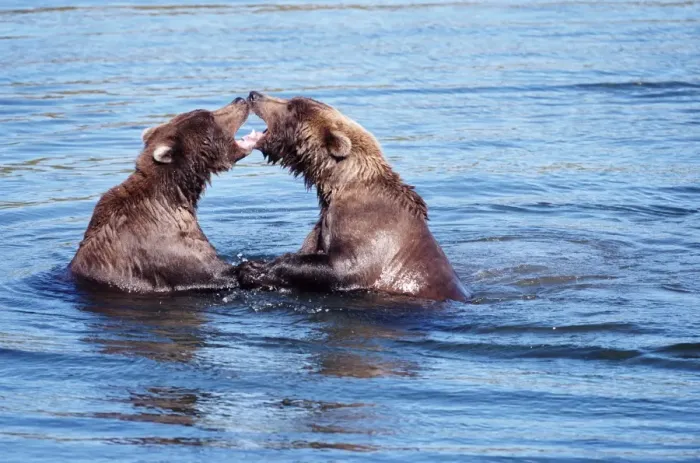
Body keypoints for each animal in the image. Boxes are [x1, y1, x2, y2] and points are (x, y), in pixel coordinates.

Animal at [70, 98, 263, 293]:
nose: (240, 100)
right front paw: (255, 269)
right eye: (208, 117)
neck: (175, 194)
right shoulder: (163, 241)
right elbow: (208, 270)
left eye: (203, 111)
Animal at [236, 91, 469, 302]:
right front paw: (251, 266)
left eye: (293, 107)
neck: (339, 184)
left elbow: (344, 266)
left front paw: (257, 268)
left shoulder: (371, 228)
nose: (254, 95)